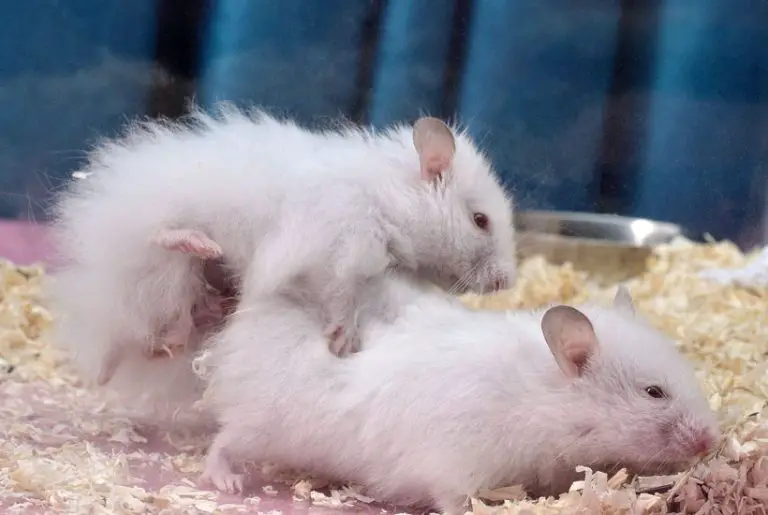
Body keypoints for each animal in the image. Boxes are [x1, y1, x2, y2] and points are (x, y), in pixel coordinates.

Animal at [48, 104, 517, 394]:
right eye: (481, 220)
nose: (508, 282)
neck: (387, 200)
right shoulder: (342, 246)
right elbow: (341, 295)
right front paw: (340, 343)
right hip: (156, 244)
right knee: (159, 239)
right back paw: (199, 243)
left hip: (170, 300)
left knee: (166, 337)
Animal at [199, 285, 720, 514]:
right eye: (654, 392)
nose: (712, 441)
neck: (542, 402)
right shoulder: (453, 463)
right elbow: (454, 500)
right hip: (262, 428)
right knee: (221, 440)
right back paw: (226, 481)